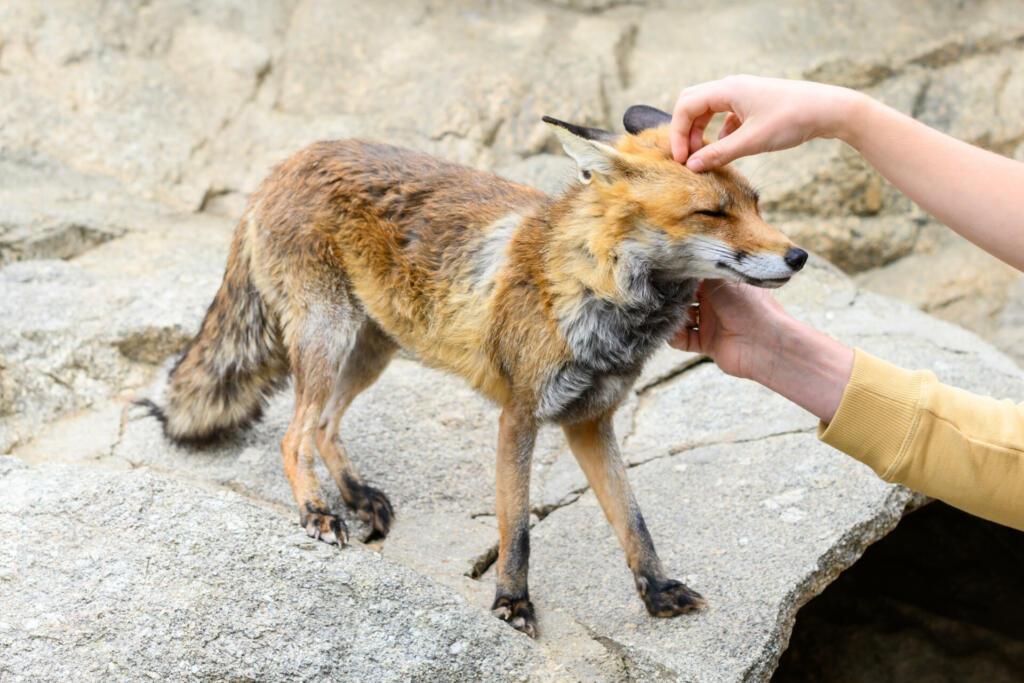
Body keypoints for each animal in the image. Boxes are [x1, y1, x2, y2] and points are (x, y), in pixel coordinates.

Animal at [138, 104, 806, 638]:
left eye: (755, 203)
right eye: (712, 213)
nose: (798, 256)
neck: (597, 292)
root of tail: (288, 162)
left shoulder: (591, 420)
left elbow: (633, 521)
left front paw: (659, 593)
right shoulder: (521, 416)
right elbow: (517, 528)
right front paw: (512, 604)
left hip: (372, 348)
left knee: (324, 427)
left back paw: (355, 496)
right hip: (328, 335)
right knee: (292, 434)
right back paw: (318, 511)